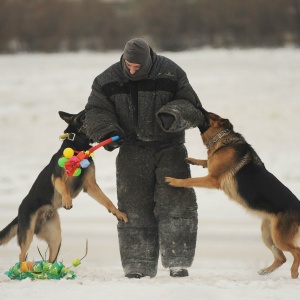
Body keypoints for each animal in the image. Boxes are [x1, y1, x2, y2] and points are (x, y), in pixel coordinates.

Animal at [0, 110, 127, 262]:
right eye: (83, 115)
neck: (78, 146)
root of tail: (19, 213)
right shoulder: (57, 177)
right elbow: (63, 186)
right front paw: (67, 200)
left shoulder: (91, 185)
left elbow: (107, 200)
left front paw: (117, 212)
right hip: (28, 232)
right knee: (21, 255)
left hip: (56, 238)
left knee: (50, 258)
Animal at [165, 111, 300, 278]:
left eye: (208, 114)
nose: (199, 107)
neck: (223, 138)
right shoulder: (212, 170)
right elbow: (207, 161)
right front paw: (193, 160)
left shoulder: (212, 179)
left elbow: (190, 180)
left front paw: (175, 181)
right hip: (267, 234)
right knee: (282, 258)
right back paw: (266, 270)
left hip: (279, 237)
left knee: (296, 251)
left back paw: (294, 273)